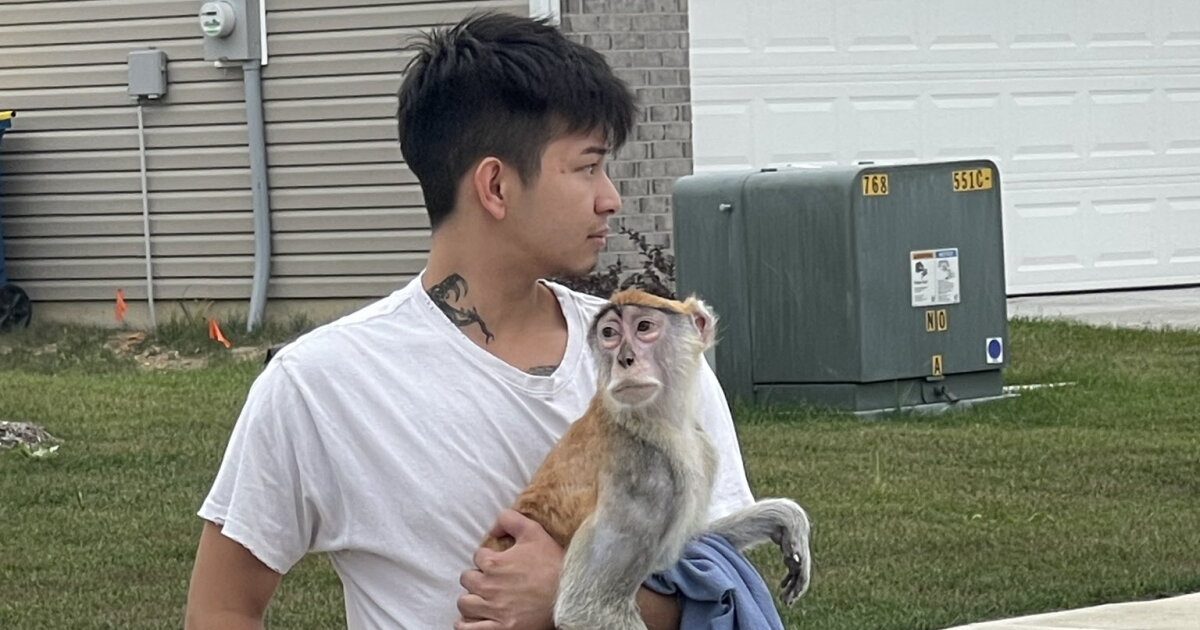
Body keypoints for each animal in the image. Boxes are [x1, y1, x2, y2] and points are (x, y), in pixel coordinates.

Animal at [481, 288, 812, 630]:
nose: (624, 359)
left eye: (643, 327)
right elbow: (585, 608)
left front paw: (783, 518)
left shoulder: (701, 449)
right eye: (609, 334)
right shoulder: (643, 475)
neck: (652, 420)